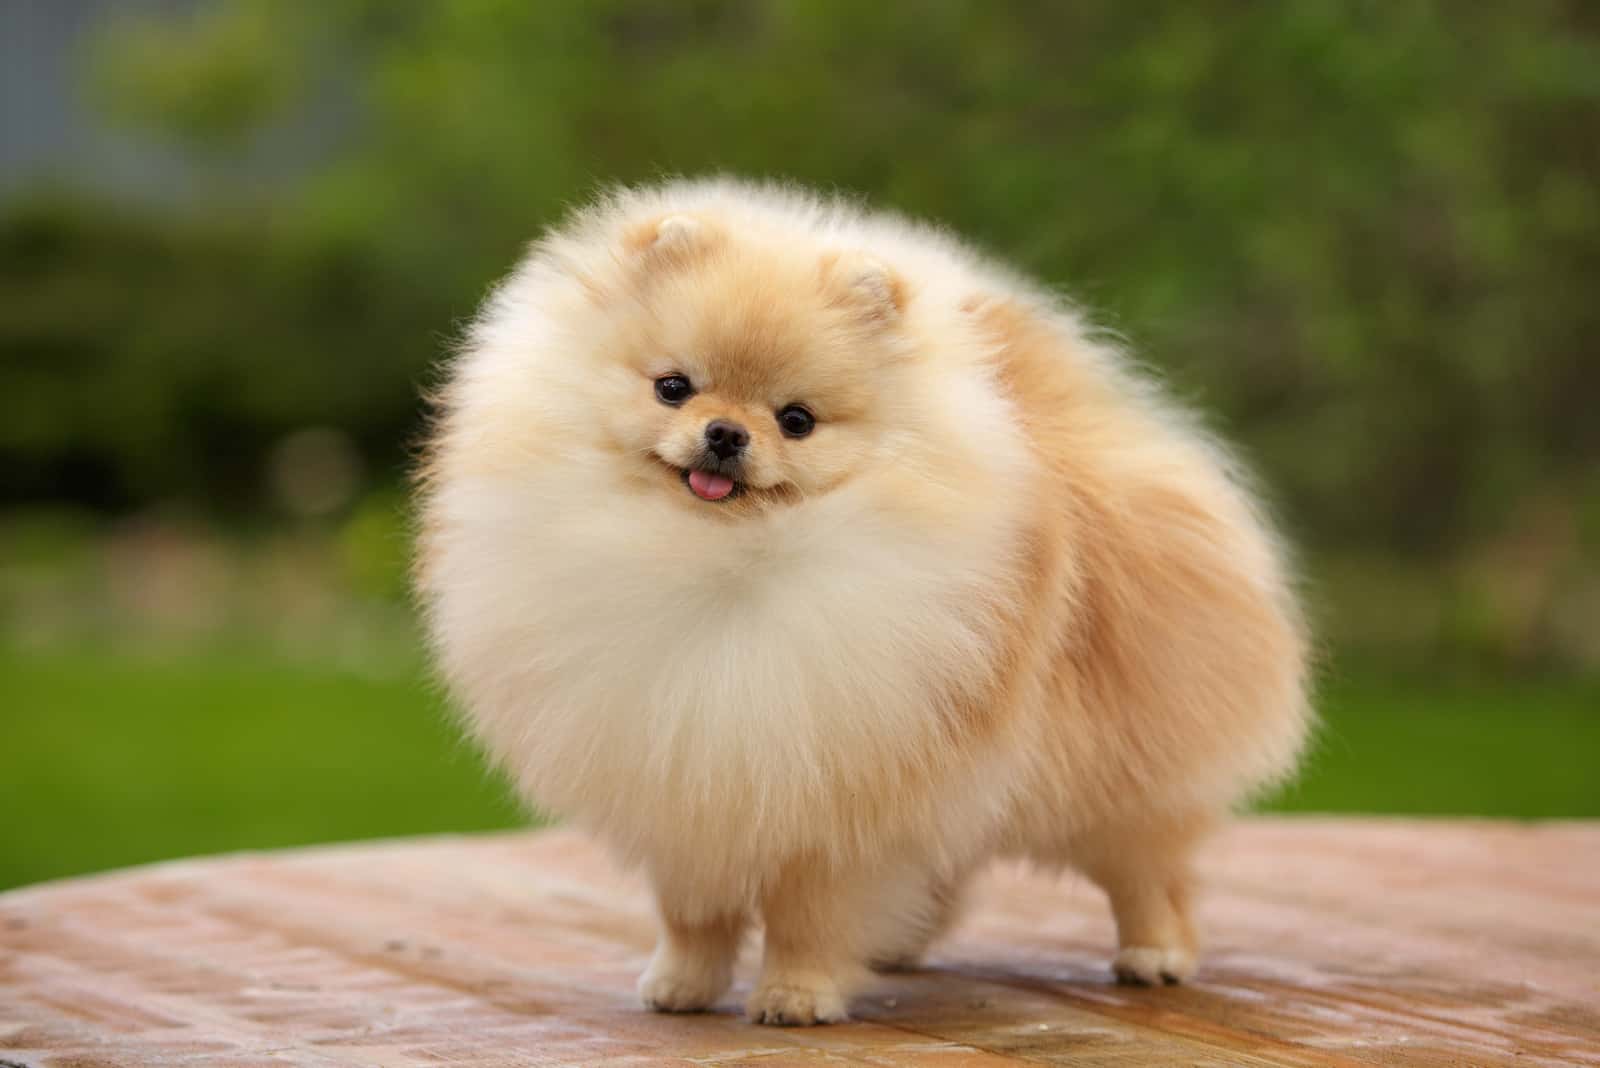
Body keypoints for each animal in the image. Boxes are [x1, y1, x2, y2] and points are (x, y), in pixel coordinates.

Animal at [416, 177, 1312, 1023]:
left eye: (797, 420)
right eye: (673, 387)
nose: (726, 434)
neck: (718, 566)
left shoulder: (838, 796)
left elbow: (806, 916)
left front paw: (796, 996)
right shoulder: (684, 783)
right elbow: (693, 913)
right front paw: (682, 985)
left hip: (1117, 773)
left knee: (1147, 870)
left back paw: (1155, 955)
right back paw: (899, 946)